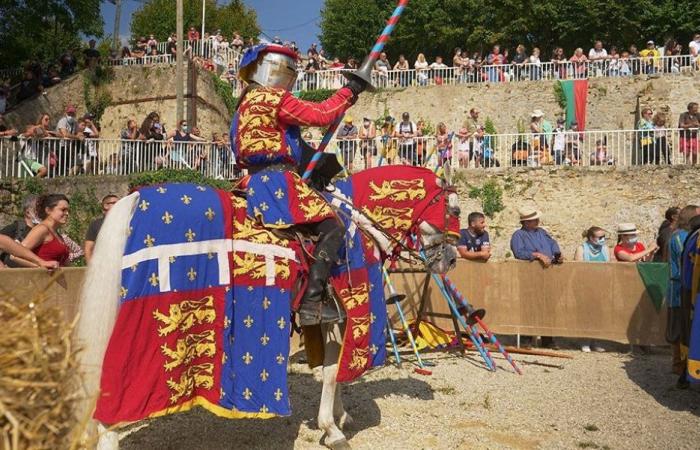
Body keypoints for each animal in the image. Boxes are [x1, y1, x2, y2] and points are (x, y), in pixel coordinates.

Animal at [78, 168, 460, 446]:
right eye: (454, 210)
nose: (453, 259)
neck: (358, 226)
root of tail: (132, 199)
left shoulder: (332, 319)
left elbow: (334, 368)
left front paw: (337, 418)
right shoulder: (351, 310)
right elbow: (333, 371)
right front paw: (332, 429)